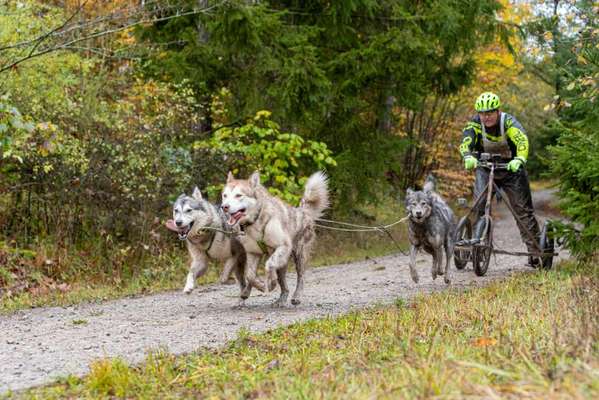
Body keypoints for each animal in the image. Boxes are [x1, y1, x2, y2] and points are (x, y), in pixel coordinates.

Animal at [223, 171, 330, 306]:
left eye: (238, 195)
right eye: (225, 195)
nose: (224, 206)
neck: (256, 219)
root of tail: (302, 211)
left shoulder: (283, 246)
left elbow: (269, 264)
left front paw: (270, 283)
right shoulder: (253, 253)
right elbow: (250, 276)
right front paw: (260, 286)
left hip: (299, 254)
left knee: (301, 277)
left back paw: (296, 296)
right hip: (283, 263)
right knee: (283, 284)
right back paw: (276, 298)